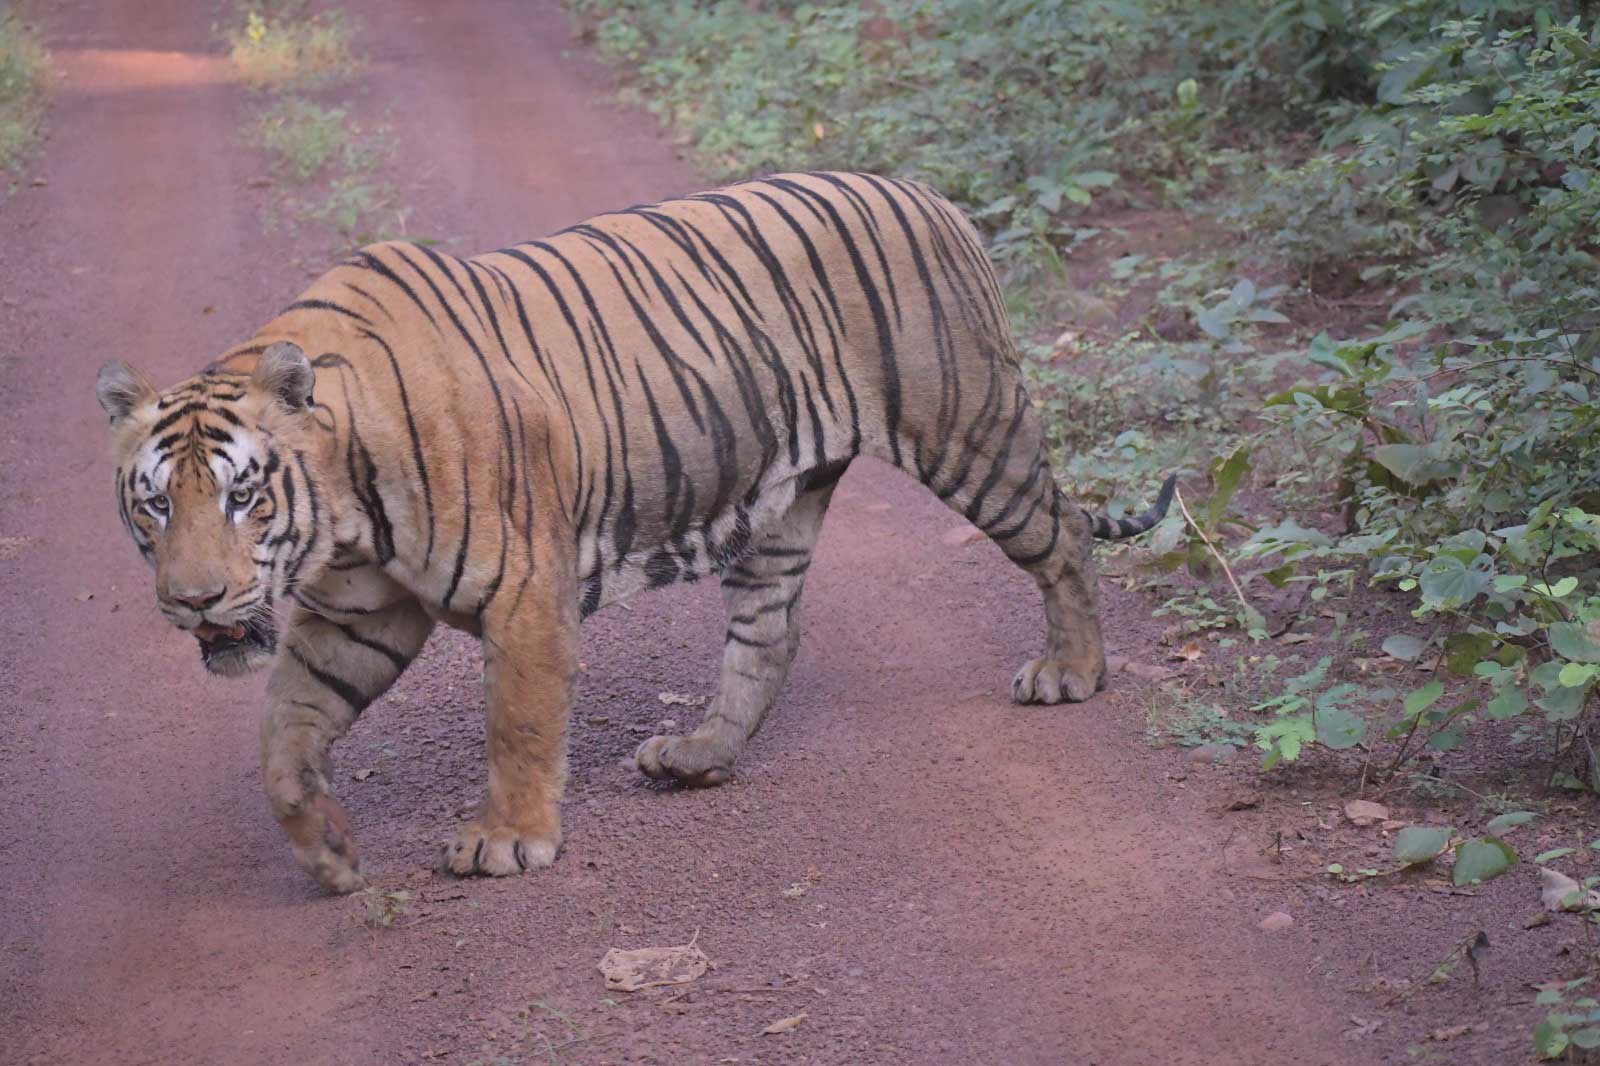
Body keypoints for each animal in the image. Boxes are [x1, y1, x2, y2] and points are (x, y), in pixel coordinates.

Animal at [96, 172, 1175, 894]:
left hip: (969, 431)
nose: (194, 599)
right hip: (782, 503)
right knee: (771, 632)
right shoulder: (358, 615)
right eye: (156, 505)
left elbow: (520, 721)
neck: (344, 510)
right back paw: (697, 753)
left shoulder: (523, 590)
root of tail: (931, 193)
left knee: (1064, 536)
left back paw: (1071, 672)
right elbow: (284, 733)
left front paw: (508, 839)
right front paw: (329, 854)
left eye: (243, 496)